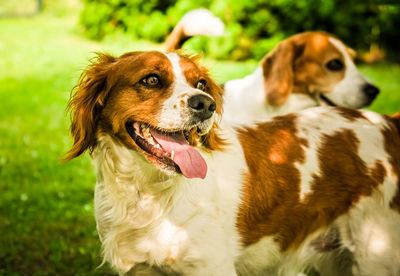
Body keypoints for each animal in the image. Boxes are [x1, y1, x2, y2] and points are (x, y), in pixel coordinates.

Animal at [65, 50, 400, 274]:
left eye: (200, 83)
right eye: (151, 79)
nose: (206, 104)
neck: (148, 195)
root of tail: (387, 122)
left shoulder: (211, 267)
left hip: (375, 255)